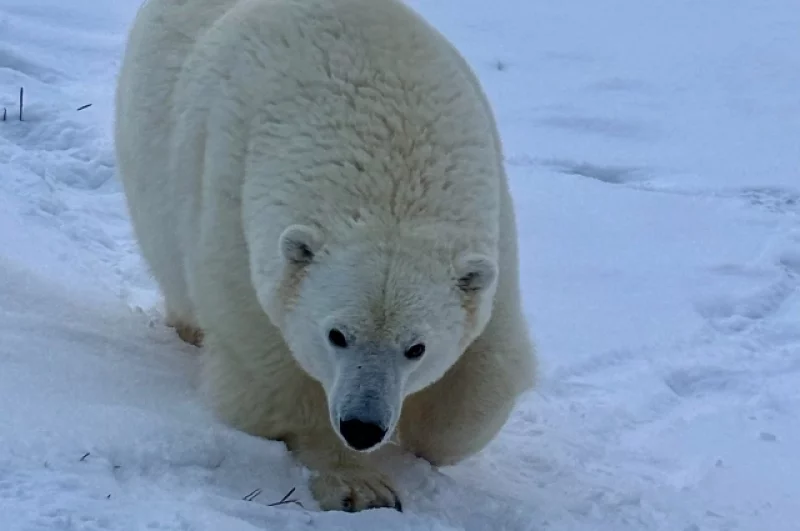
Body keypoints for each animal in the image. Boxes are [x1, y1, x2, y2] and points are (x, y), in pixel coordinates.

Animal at [114, 0, 536, 516]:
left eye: (416, 347)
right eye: (337, 335)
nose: (363, 426)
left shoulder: (494, 231)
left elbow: (486, 367)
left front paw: (429, 434)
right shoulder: (231, 213)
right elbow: (271, 369)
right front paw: (359, 484)